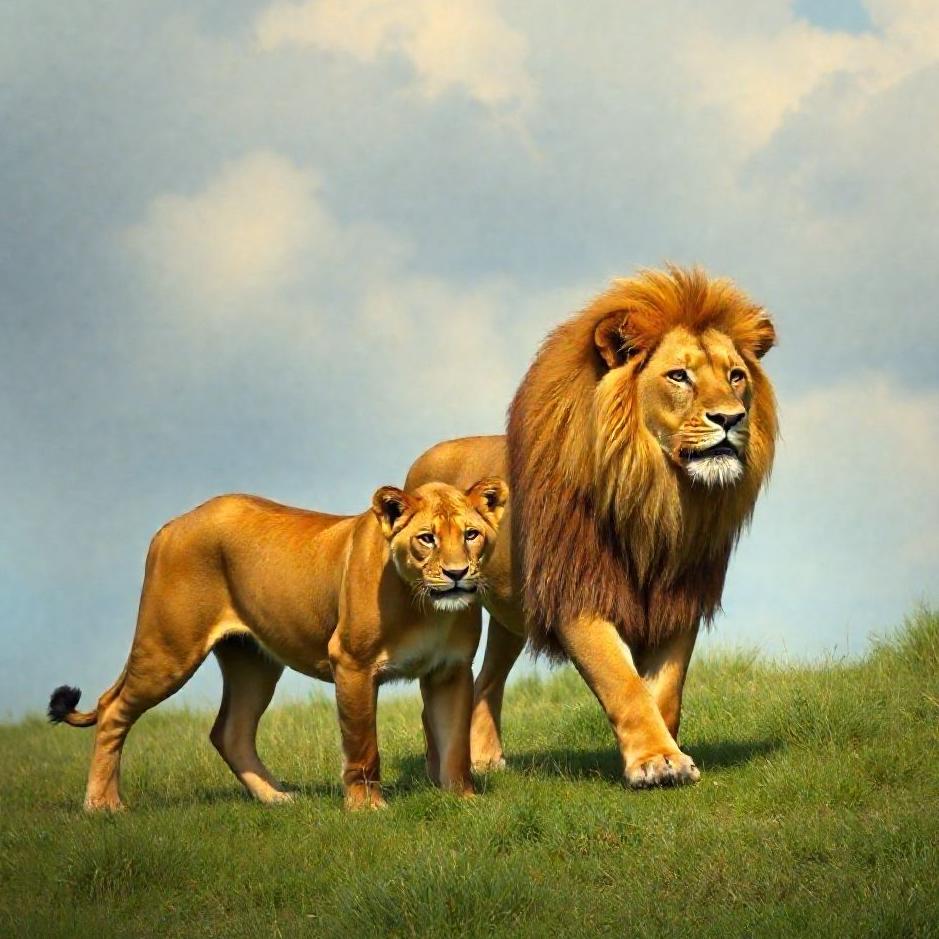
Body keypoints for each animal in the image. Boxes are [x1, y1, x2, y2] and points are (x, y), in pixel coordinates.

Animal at [48, 477, 509, 811]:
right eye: (427, 538)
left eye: (471, 535)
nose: (456, 574)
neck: (427, 609)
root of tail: (172, 524)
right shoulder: (352, 664)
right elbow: (363, 745)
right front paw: (367, 808)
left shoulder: (450, 671)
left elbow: (455, 745)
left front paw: (464, 800)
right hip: (168, 649)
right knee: (112, 708)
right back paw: (102, 805)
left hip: (253, 662)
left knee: (230, 732)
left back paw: (276, 798)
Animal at [406, 266, 777, 788]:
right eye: (679, 375)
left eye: (736, 375)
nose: (731, 418)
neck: (657, 496)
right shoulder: (577, 593)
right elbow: (622, 682)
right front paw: (656, 762)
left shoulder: (679, 598)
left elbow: (664, 691)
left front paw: (667, 752)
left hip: (510, 618)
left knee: (486, 682)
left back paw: (483, 759)